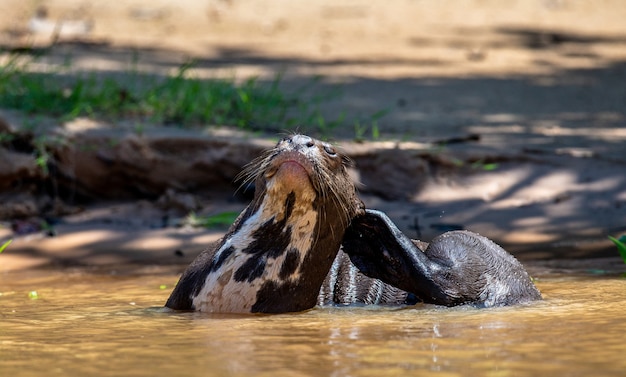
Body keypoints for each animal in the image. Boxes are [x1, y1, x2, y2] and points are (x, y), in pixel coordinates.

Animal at [167, 134, 540, 312]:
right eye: (281, 140)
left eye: (332, 152)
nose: (300, 141)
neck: (238, 284)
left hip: (469, 246)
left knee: (446, 279)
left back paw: (373, 234)